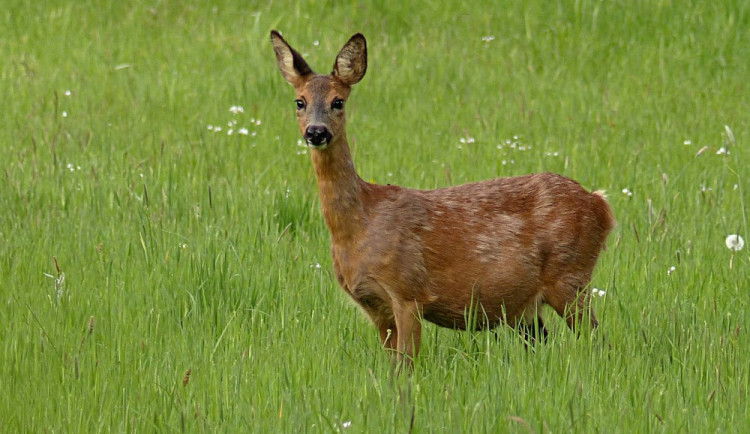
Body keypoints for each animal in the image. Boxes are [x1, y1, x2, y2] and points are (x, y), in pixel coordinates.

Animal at [270, 30, 616, 364]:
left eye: (338, 102)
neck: (359, 226)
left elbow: (406, 366)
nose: (316, 132)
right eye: (299, 102)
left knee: (598, 341)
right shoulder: (373, 305)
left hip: (570, 275)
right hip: (525, 305)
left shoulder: (407, 291)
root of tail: (601, 204)